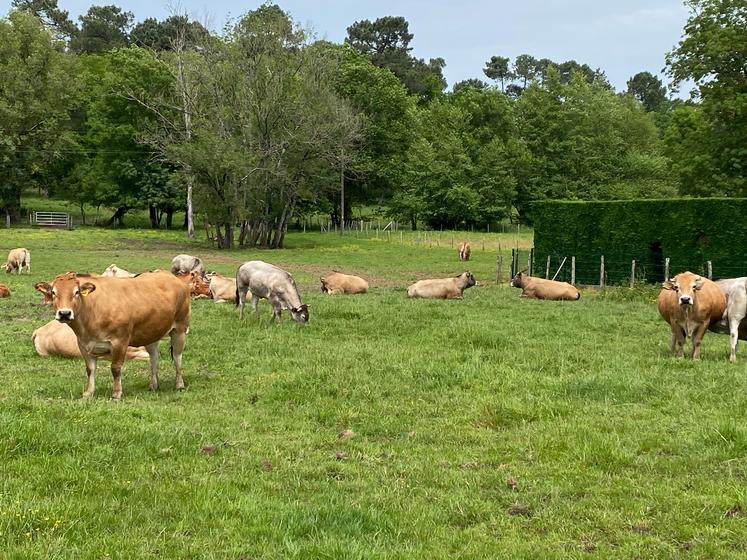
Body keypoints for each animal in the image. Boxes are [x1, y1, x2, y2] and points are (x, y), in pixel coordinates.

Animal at [36, 270, 191, 398]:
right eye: (54, 292)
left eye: (77, 292)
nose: (64, 313)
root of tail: (172, 276)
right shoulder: (83, 345)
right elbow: (90, 369)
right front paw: (88, 393)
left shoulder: (119, 341)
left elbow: (115, 368)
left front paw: (116, 393)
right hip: (151, 332)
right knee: (154, 357)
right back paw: (153, 385)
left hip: (180, 329)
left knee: (177, 357)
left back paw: (179, 384)